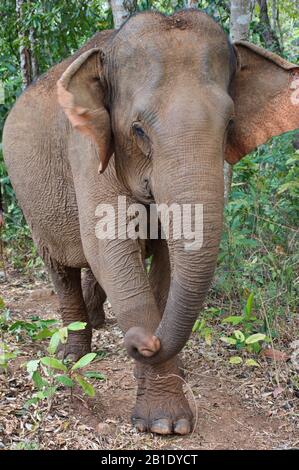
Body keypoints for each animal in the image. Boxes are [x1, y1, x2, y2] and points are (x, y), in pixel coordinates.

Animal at [2, 10, 299, 436]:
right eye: (138, 129)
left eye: (229, 125)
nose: (145, 342)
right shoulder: (87, 150)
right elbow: (110, 251)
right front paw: (163, 423)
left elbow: (166, 263)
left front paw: (170, 394)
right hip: (31, 203)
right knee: (61, 269)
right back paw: (75, 355)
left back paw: (100, 323)